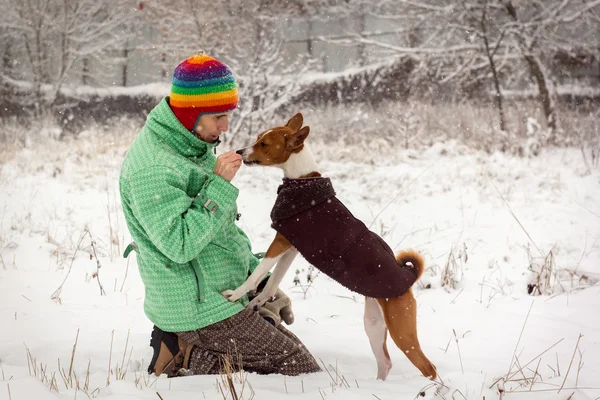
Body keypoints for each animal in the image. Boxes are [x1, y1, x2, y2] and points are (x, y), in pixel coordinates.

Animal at [220, 112, 436, 382]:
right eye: (258, 138)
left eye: (264, 143)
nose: (240, 151)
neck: (302, 180)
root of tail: (408, 278)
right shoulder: (291, 247)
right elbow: (271, 282)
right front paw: (256, 303)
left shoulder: (281, 241)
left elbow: (257, 275)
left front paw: (235, 294)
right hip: (374, 323)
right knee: (385, 362)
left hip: (401, 329)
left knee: (428, 368)